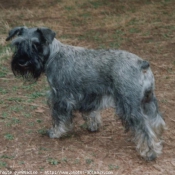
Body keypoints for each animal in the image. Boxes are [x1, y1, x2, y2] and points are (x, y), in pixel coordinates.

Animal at [6, 26, 165, 160]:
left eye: (36, 44)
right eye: (17, 44)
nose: (21, 62)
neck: (53, 55)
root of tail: (141, 64)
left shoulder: (60, 97)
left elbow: (59, 118)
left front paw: (56, 132)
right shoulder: (88, 95)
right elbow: (91, 113)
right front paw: (93, 126)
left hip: (129, 105)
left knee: (144, 128)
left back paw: (149, 152)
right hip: (148, 101)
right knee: (156, 121)